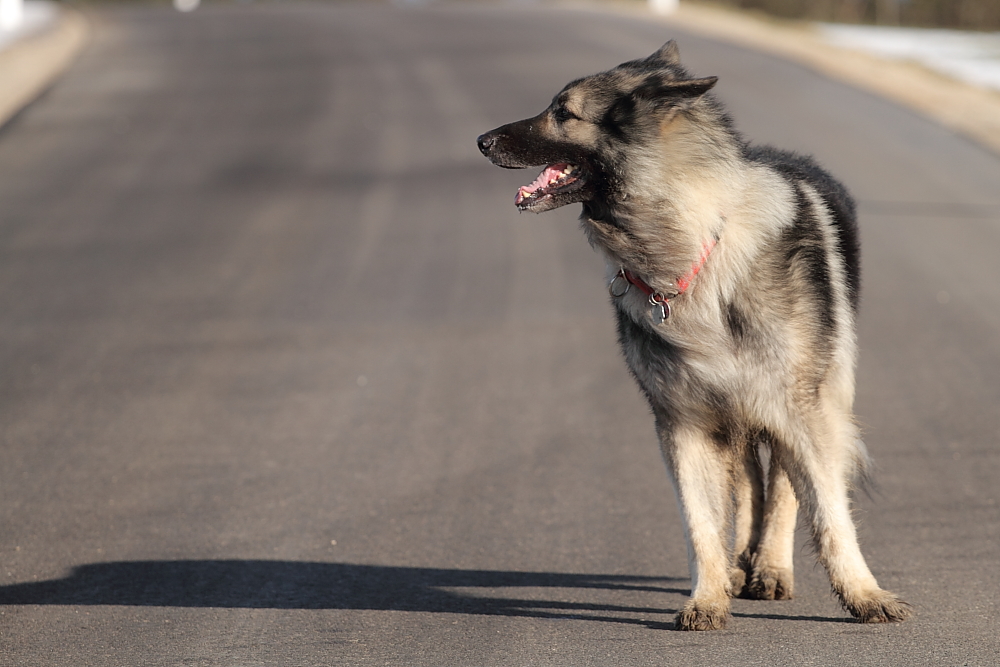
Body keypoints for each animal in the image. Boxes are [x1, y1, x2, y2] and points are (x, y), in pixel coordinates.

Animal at [478, 41, 916, 632]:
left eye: (563, 113)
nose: (481, 141)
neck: (692, 250)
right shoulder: (684, 423)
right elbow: (701, 522)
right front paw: (708, 596)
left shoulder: (798, 412)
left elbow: (829, 515)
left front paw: (864, 595)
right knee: (748, 484)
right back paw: (740, 566)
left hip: (812, 401)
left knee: (782, 487)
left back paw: (770, 566)